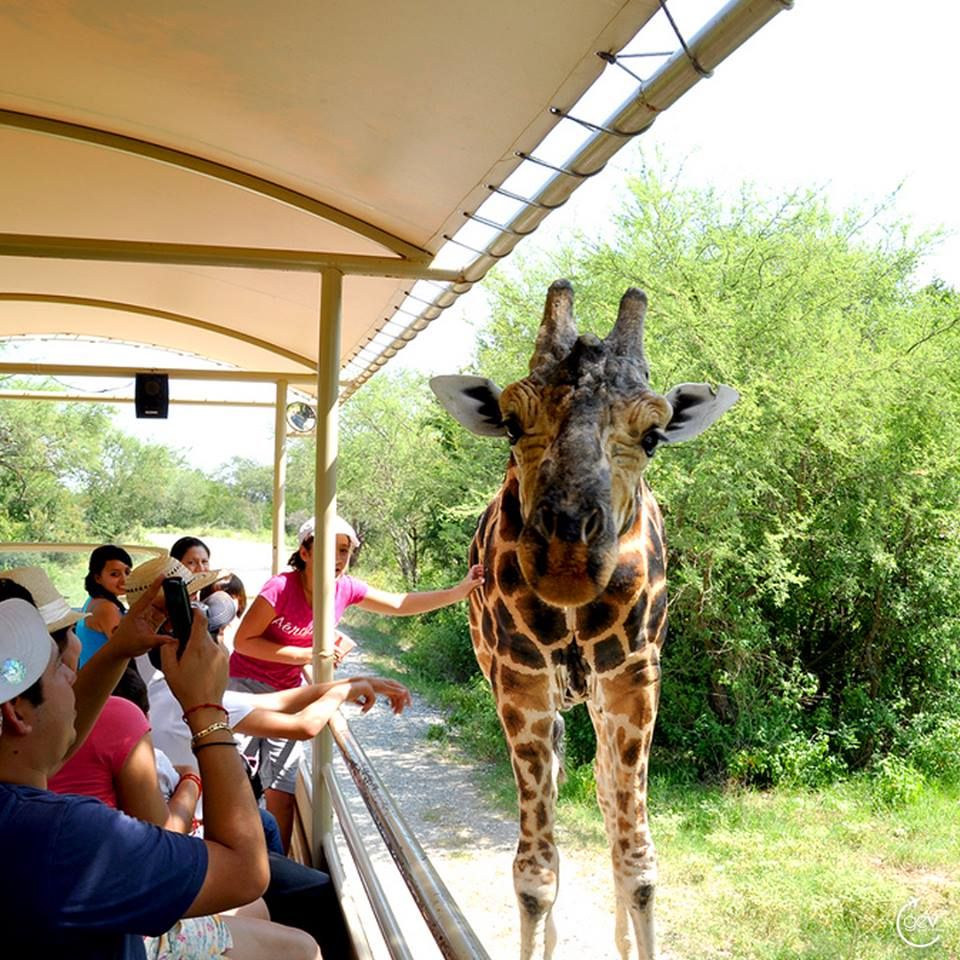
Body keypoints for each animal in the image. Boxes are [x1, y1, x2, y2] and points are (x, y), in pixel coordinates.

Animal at [432, 280, 740, 960]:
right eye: (512, 424)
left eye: (653, 436)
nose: (566, 552)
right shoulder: (521, 680)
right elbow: (533, 874)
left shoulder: (633, 678)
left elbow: (639, 863)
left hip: (598, 696)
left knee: (601, 790)